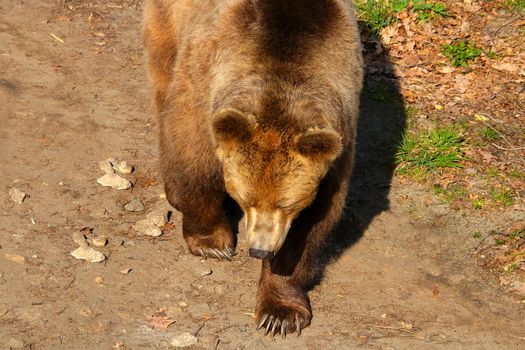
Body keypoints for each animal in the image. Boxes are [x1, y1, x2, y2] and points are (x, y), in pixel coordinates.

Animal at [144, 0, 364, 336]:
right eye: (244, 199)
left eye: (287, 204)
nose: (260, 250)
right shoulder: (205, 87)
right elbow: (190, 159)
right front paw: (212, 243)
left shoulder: (335, 151)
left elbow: (310, 227)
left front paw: (280, 313)